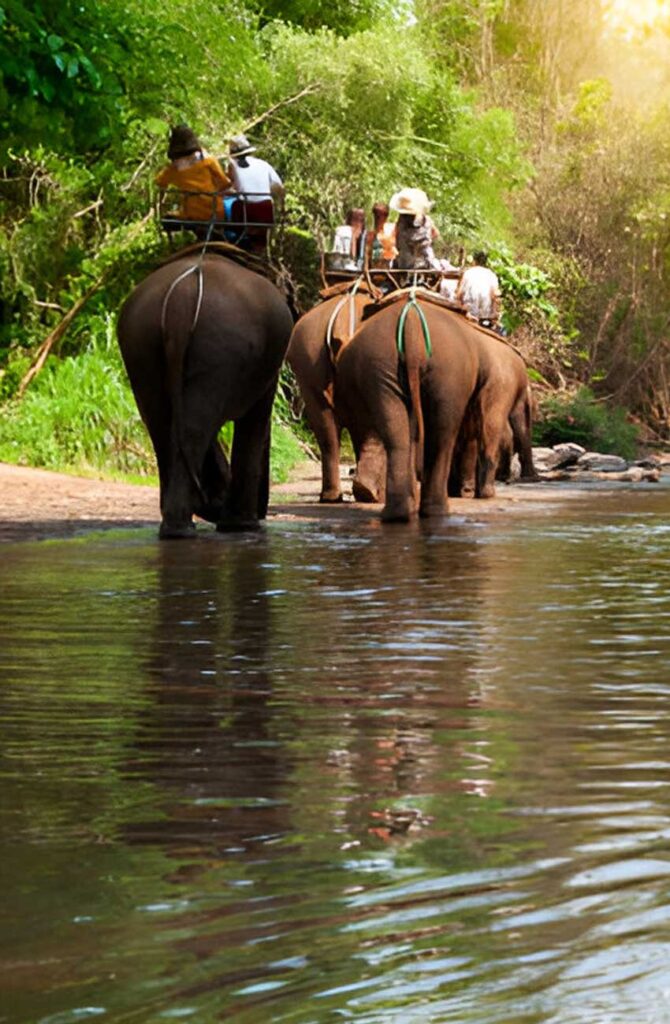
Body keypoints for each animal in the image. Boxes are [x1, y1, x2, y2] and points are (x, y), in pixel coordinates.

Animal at [117, 249, 294, 537]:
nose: (264, 511)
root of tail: (182, 296)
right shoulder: (269, 371)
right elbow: (256, 419)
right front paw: (243, 526)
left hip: (141, 342)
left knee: (161, 424)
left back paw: (177, 527)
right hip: (220, 344)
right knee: (192, 427)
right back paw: (187, 530)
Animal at [335, 296, 536, 521]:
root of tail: (412, 324)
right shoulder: (501, 381)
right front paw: (472, 492)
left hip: (381, 363)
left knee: (400, 432)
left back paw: (398, 511)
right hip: (449, 367)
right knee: (453, 432)